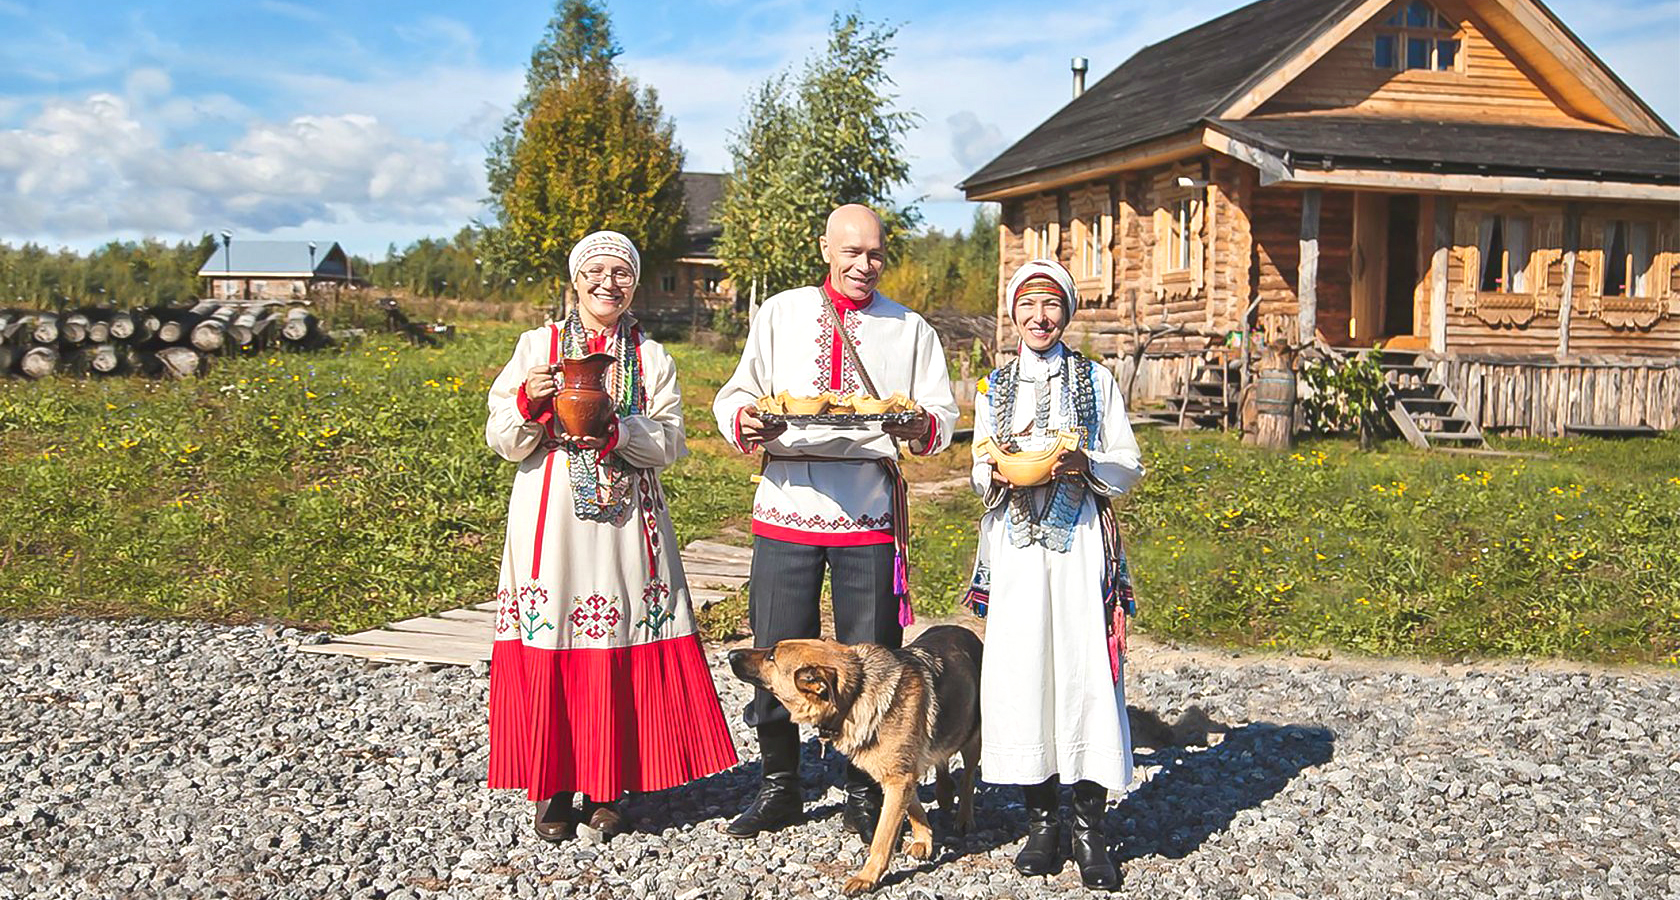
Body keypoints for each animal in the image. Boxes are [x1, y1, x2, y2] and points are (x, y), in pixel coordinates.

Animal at [725, 624, 981, 893]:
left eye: (772, 657)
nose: (731, 654)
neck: (856, 693)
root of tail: (962, 629)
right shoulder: (899, 775)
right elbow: (914, 807)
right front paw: (924, 838)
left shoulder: (899, 779)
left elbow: (882, 838)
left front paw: (867, 877)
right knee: (943, 758)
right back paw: (944, 793)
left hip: (974, 739)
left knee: (967, 779)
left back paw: (964, 817)